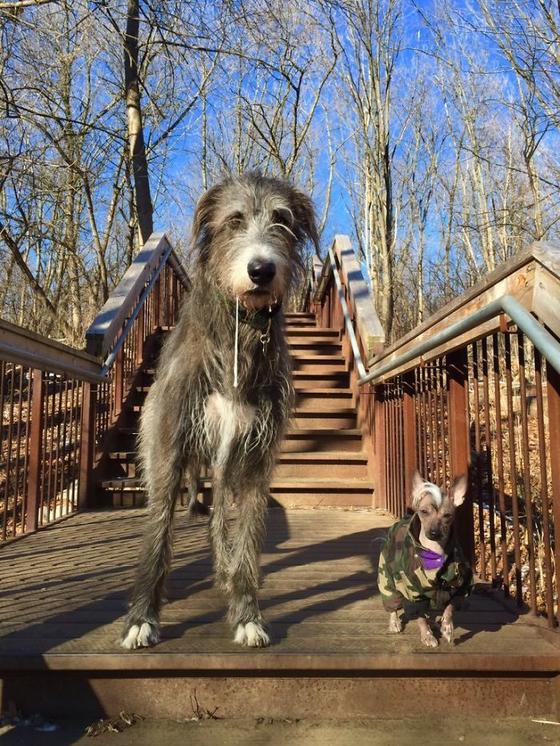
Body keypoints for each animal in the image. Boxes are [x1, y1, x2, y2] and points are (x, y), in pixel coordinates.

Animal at [120, 171, 318, 648]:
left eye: (282, 220)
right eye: (234, 220)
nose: (261, 270)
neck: (239, 333)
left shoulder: (257, 457)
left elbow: (246, 537)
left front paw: (247, 613)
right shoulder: (171, 445)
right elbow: (157, 534)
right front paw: (142, 617)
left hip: (227, 464)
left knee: (217, 519)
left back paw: (224, 570)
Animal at [376, 470, 472, 644]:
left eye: (447, 515)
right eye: (423, 512)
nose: (434, 532)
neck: (434, 552)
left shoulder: (460, 587)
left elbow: (450, 607)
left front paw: (447, 627)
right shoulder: (412, 592)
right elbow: (419, 616)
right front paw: (427, 635)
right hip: (387, 576)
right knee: (392, 602)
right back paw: (395, 623)